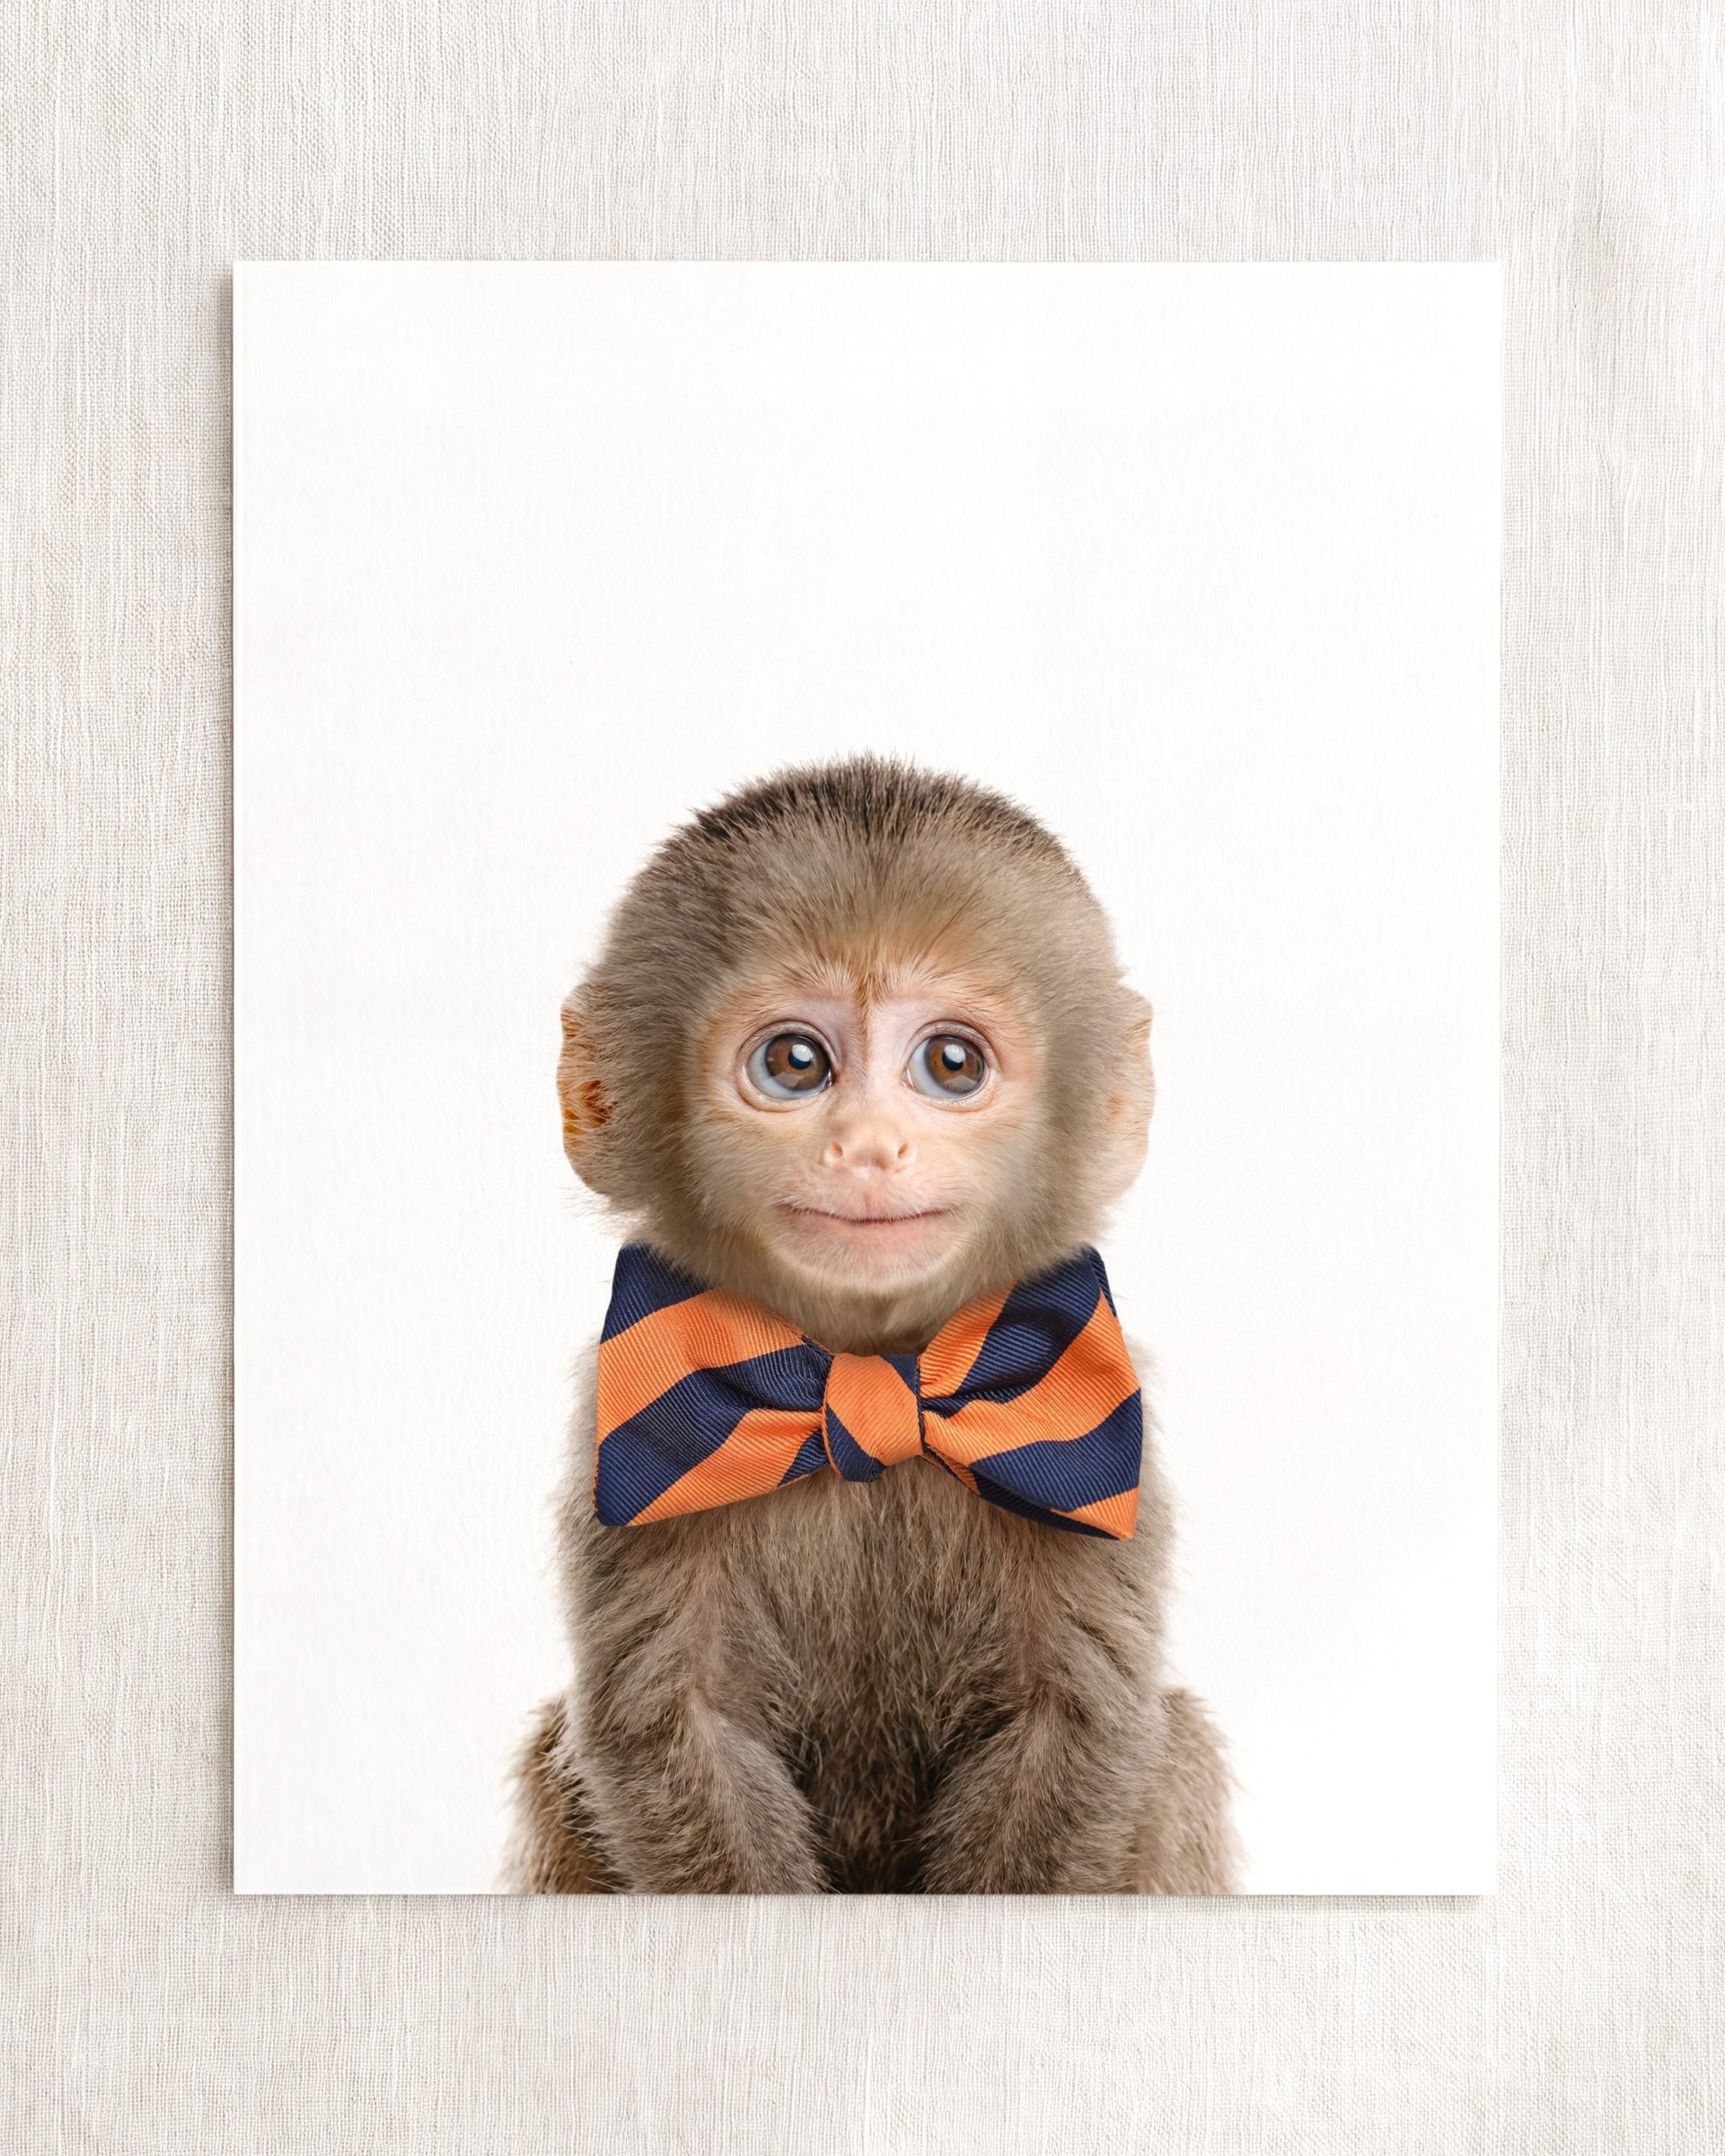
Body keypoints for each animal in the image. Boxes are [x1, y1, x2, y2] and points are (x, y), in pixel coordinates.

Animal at [505, 756, 1236, 1895]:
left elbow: (1075, 1729)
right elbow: (676, 1731)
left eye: (951, 1064)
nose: (868, 1146)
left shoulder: (1104, 1430)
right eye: (796, 1063)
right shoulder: (625, 1427)